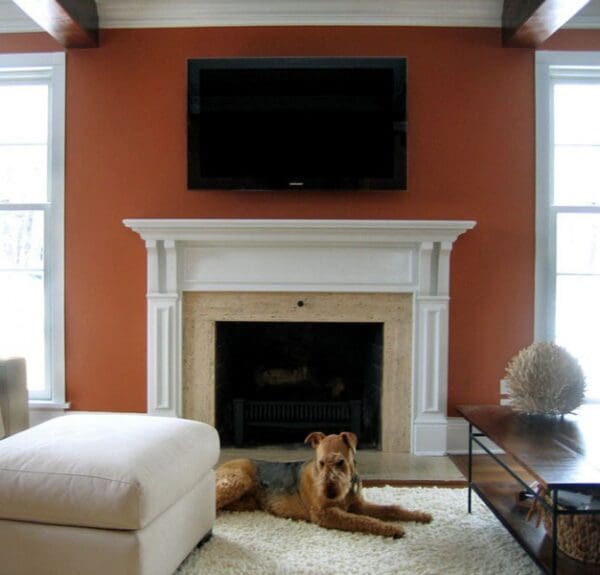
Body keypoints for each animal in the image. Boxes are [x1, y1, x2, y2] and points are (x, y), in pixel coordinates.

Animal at [216, 432, 432, 540]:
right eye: (320, 462)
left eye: (340, 462)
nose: (329, 493)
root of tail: (220, 466)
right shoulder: (324, 513)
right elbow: (363, 521)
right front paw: (393, 528)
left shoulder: (358, 505)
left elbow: (392, 508)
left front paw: (421, 515)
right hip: (237, 481)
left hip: (246, 501)